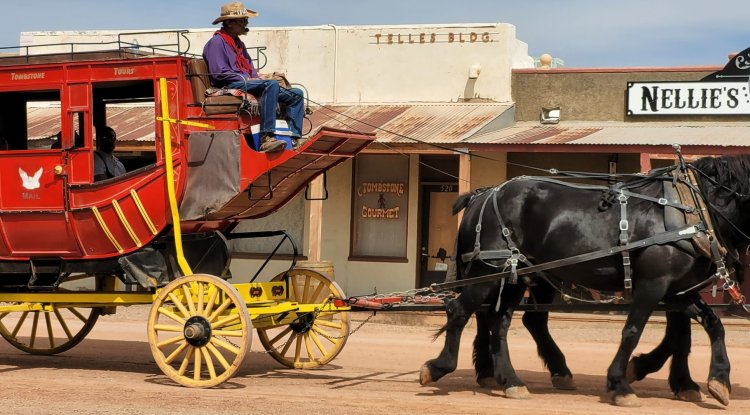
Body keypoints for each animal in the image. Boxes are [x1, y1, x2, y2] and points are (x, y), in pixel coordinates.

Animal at [420, 155, 748, 406]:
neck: (692, 208)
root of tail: (483, 194)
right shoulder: (653, 284)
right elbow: (633, 331)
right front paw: (621, 383)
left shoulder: (677, 290)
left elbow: (707, 327)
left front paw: (714, 380)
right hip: (489, 273)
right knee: (460, 312)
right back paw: (438, 367)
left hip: (516, 277)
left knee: (499, 322)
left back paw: (512, 380)